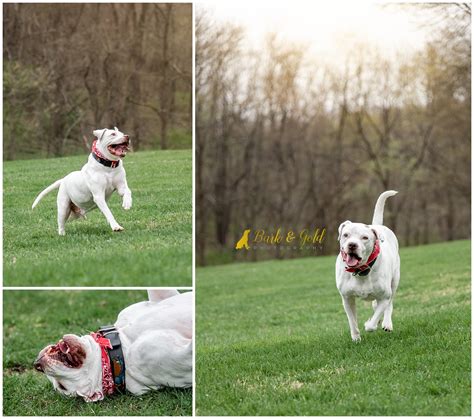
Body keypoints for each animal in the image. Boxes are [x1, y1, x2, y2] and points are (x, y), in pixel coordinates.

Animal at [336, 192, 400, 342]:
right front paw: (356, 338)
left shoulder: (385, 296)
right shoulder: (347, 299)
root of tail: (376, 225)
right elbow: (352, 321)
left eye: (364, 237)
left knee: (389, 304)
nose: (352, 245)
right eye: (346, 235)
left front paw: (370, 324)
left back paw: (387, 323)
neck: (360, 271)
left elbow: (372, 323)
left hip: (394, 281)